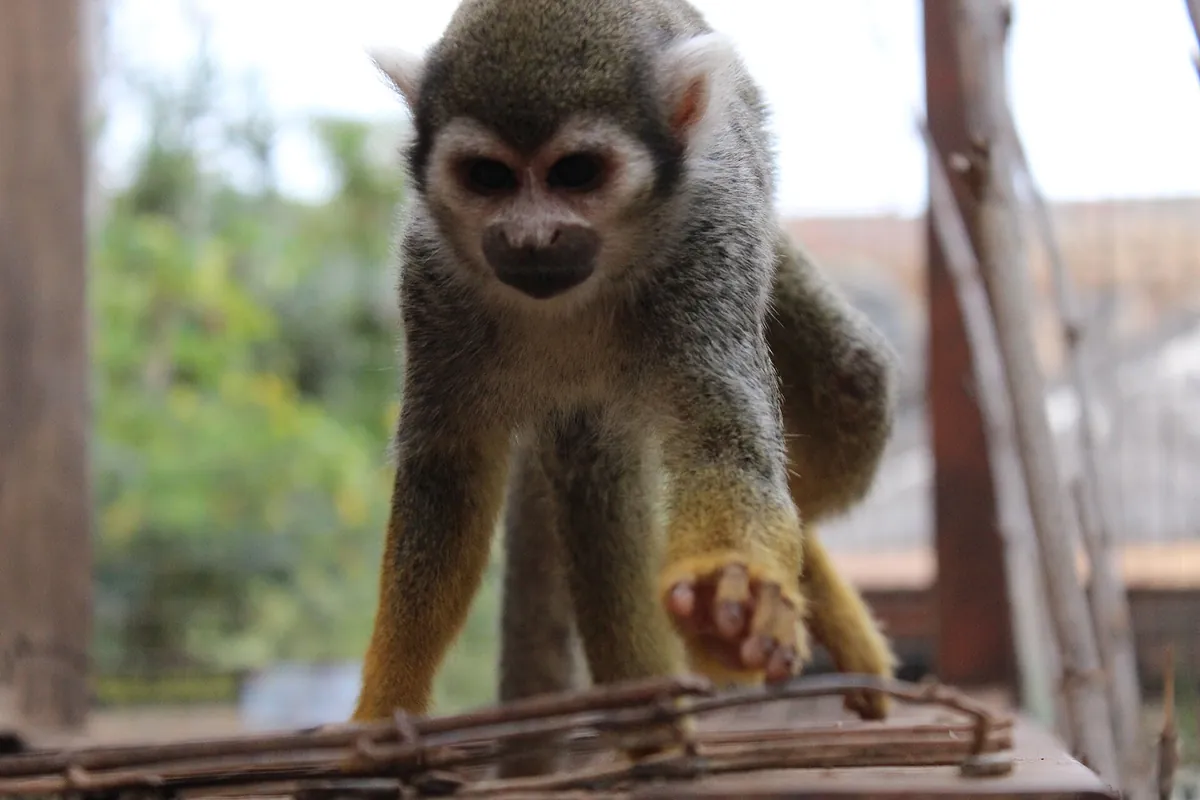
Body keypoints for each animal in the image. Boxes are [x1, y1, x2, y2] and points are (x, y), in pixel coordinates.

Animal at [353, 0, 898, 748]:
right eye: (489, 177)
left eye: (576, 173)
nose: (531, 238)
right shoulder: (431, 276)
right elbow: (447, 477)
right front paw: (385, 708)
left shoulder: (710, 241)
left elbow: (724, 441)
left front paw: (733, 603)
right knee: (593, 467)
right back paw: (653, 722)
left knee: (852, 380)